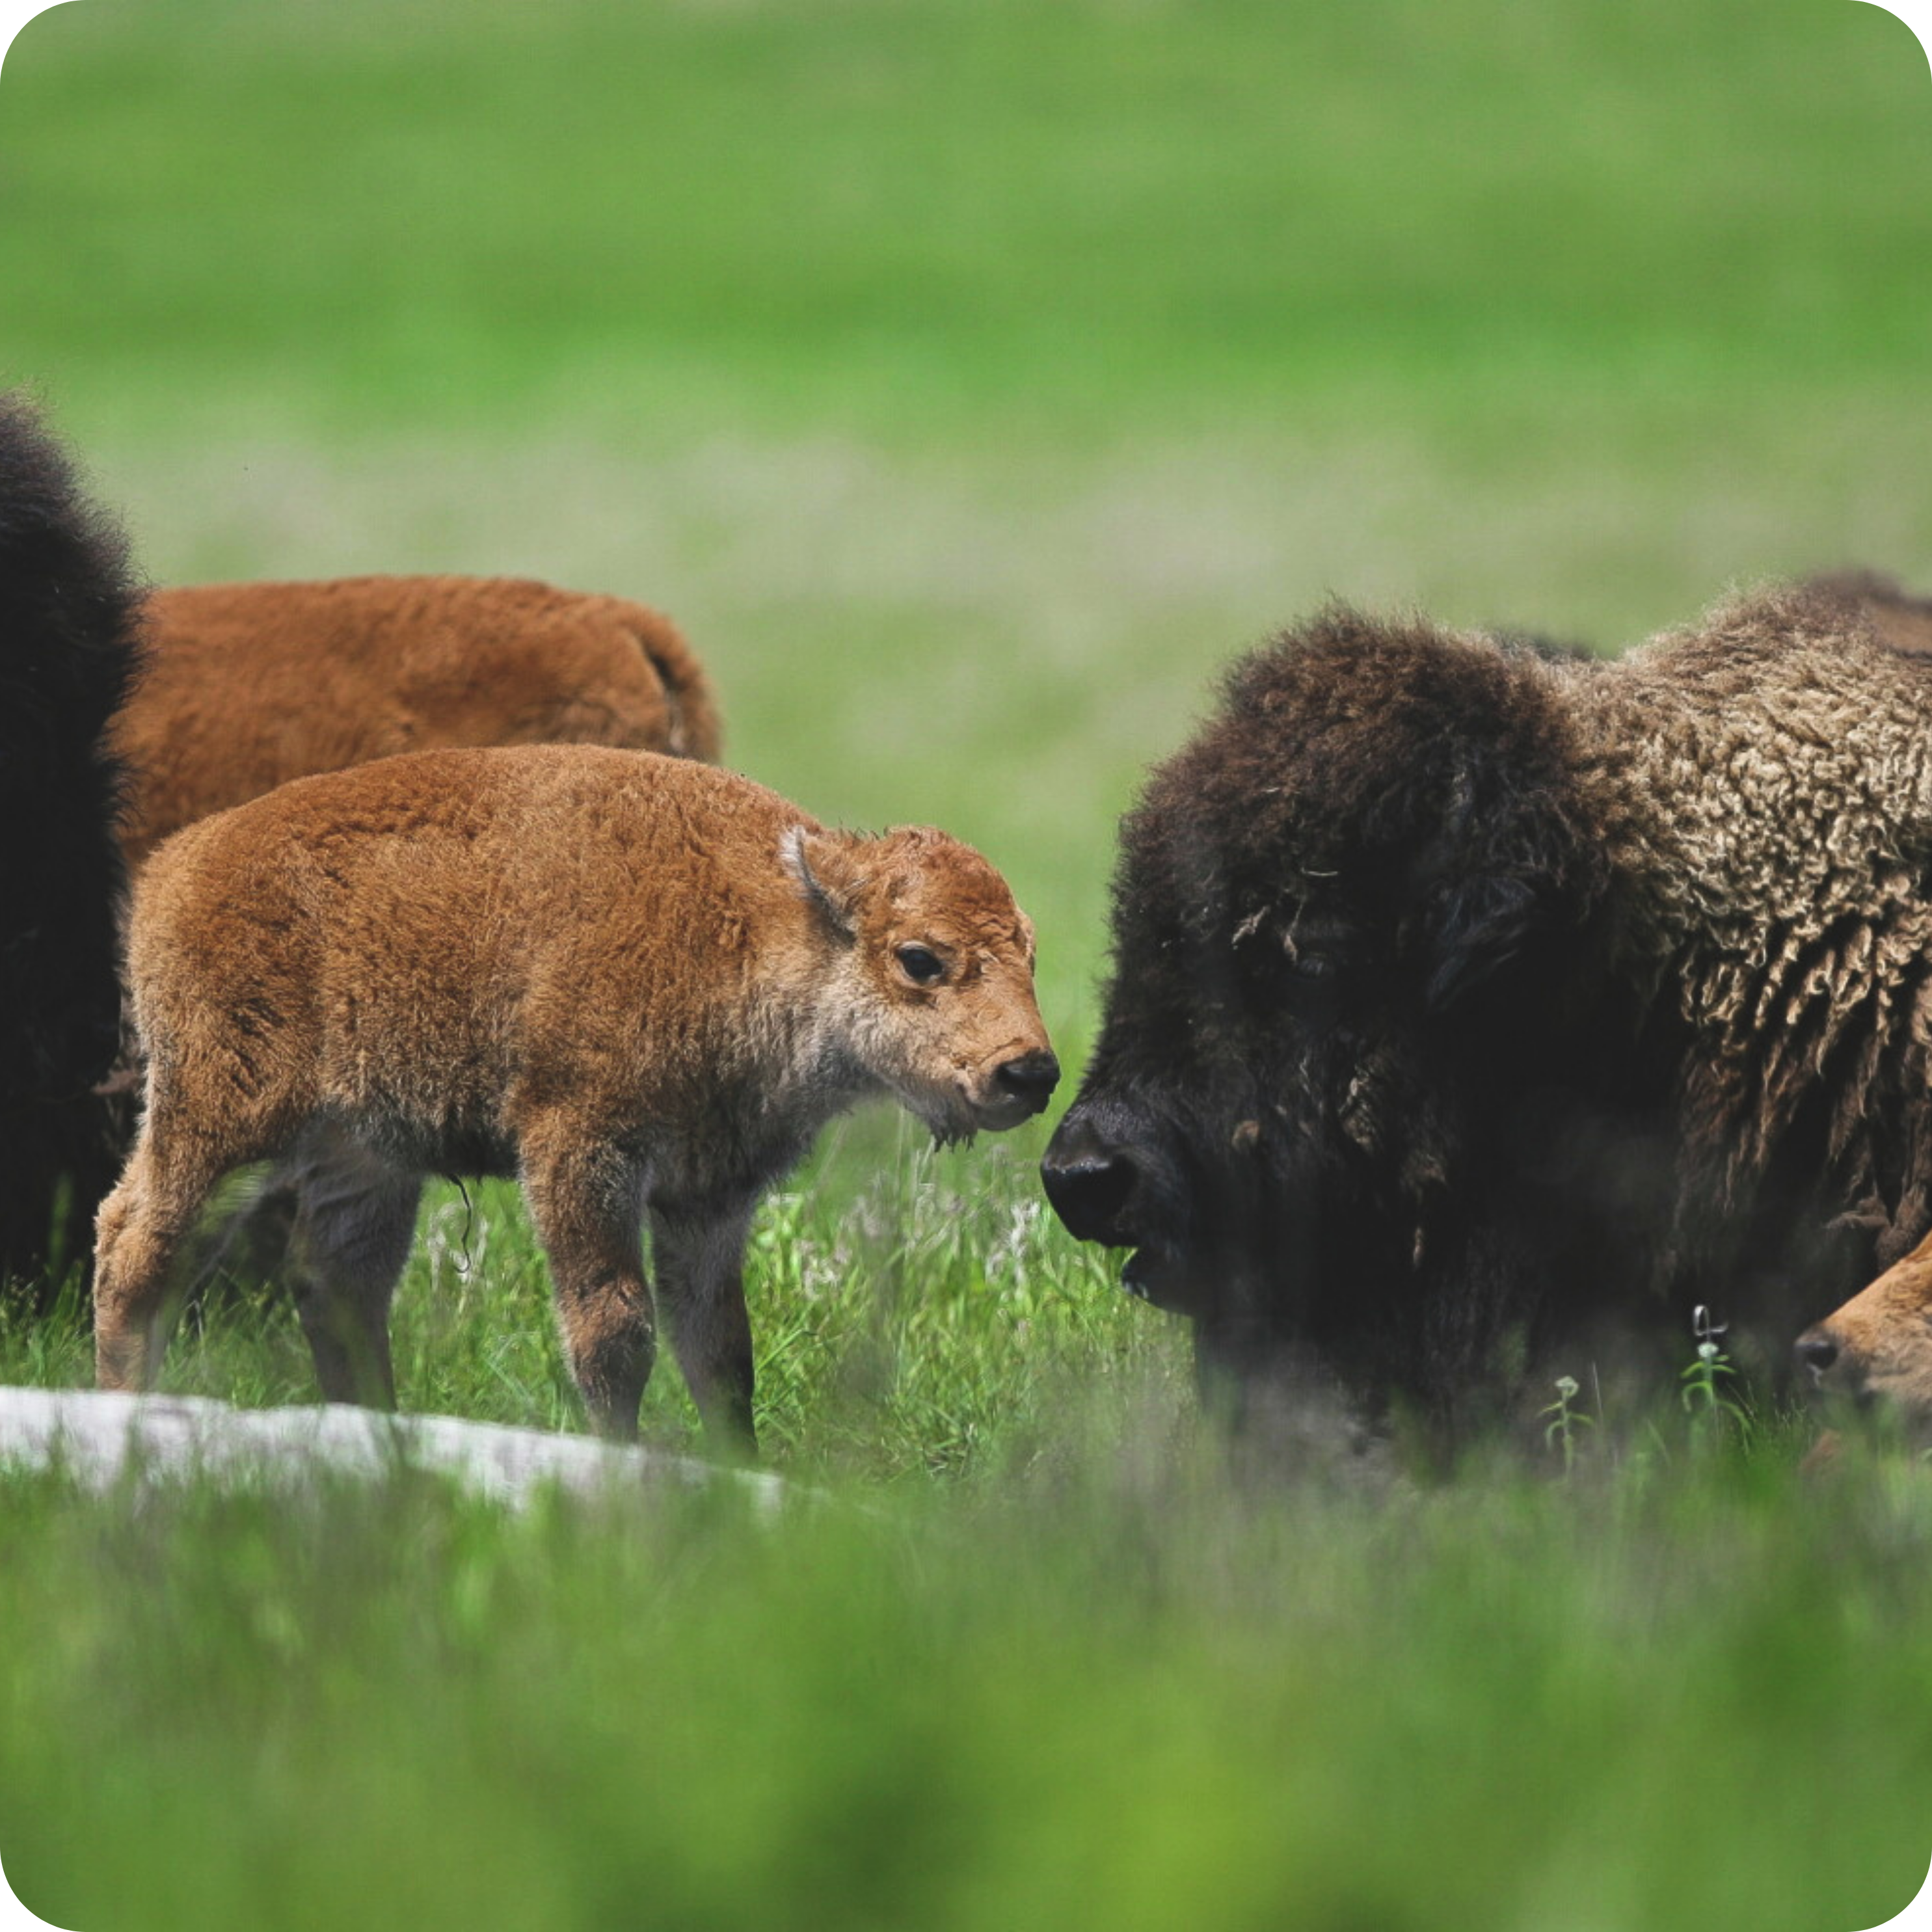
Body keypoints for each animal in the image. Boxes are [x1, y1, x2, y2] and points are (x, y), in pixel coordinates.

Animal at [94, 745, 1056, 1452]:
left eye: (1030, 954)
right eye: (919, 957)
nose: (1029, 1072)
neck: (757, 923)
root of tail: (175, 869)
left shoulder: (710, 1195)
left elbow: (719, 1350)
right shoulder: (582, 1151)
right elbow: (615, 1330)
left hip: (363, 1158)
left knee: (339, 1285)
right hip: (221, 1119)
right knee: (138, 1244)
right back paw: (126, 1412)